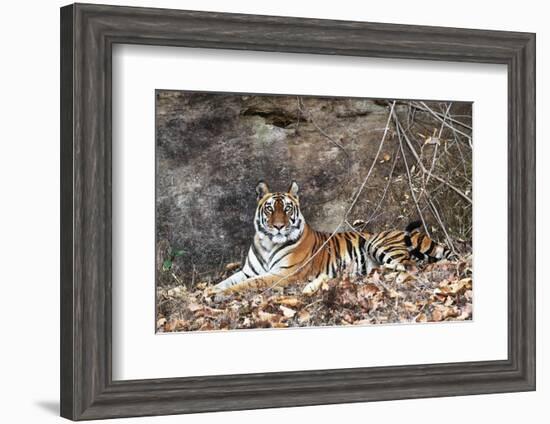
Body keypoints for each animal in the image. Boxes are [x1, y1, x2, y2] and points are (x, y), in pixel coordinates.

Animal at [213, 180, 454, 294]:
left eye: (288, 209)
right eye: (270, 209)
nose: (279, 227)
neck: (268, 244)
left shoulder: (284, 274)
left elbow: (250, 284)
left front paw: (221, 294)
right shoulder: (247, 271)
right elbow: (227, 280)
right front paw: (212, 290)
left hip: (378, 244)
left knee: (409, 267)